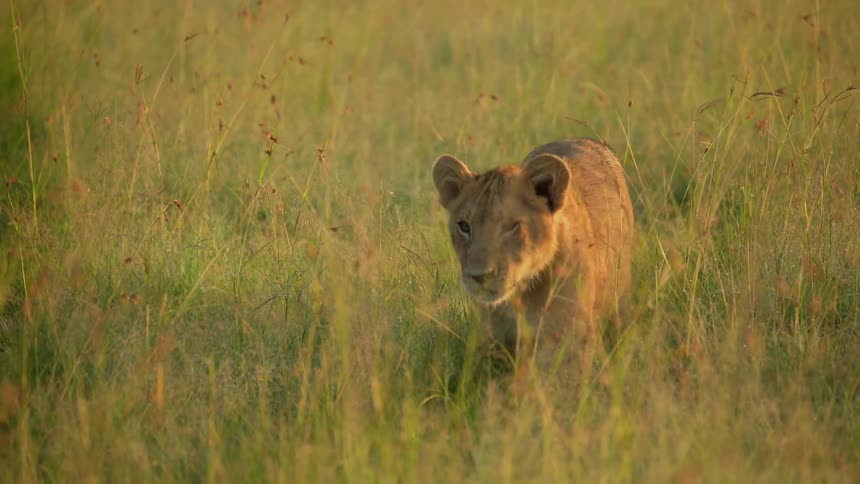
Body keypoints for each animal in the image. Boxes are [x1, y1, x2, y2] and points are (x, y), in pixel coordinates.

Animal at [431, 138, 634, 358]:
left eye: (512, 226)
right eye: (464, 226)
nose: (480, 277)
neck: (522, 296)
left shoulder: (572, 341)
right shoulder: (495, 343)